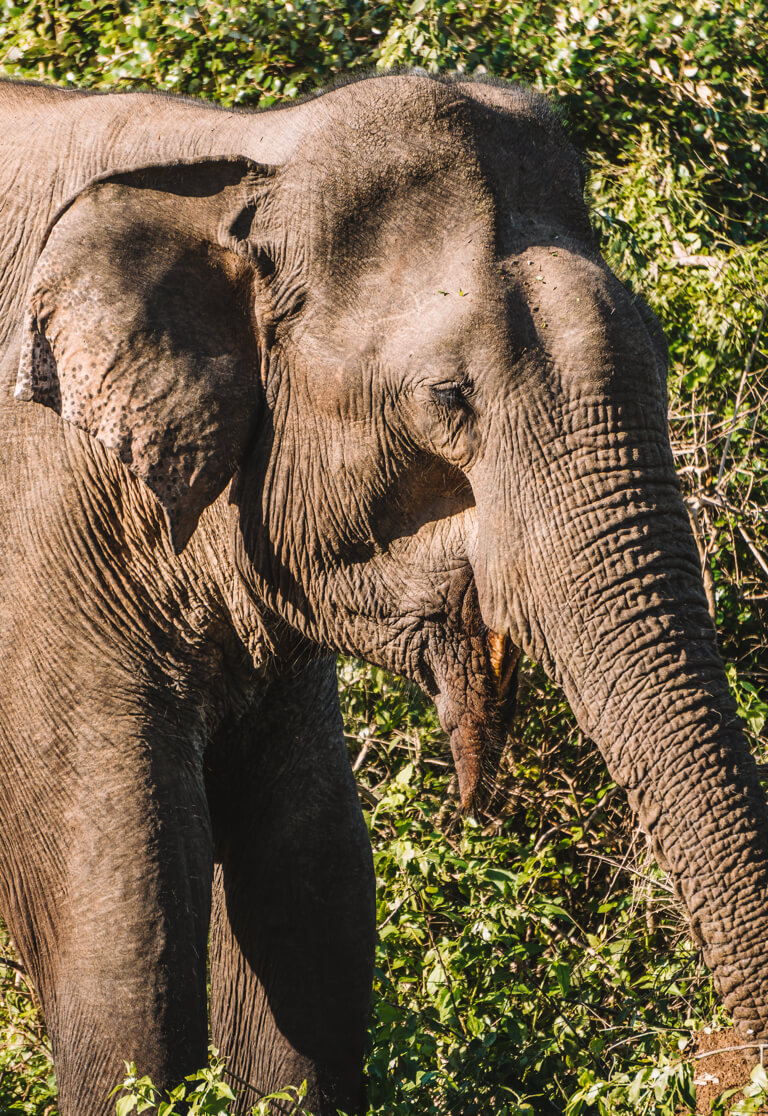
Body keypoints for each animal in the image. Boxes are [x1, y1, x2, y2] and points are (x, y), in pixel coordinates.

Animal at [0, 71, 763, 1116]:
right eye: (448, 398)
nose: (724, 1066)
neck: (245, 155)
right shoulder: (44, 546)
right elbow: (122, 945)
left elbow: (312, 900)